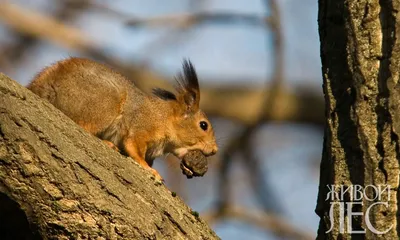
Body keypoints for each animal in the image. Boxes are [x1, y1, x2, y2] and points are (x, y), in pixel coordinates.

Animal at [27, 58, 219, 181]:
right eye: (203, 125)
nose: (215, 150)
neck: (164, 117)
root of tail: (46, 84)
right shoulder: (143, 126)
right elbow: (133, 146)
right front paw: (150, 170)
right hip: (104, 105)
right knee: (82, 126)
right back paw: (106, 143)